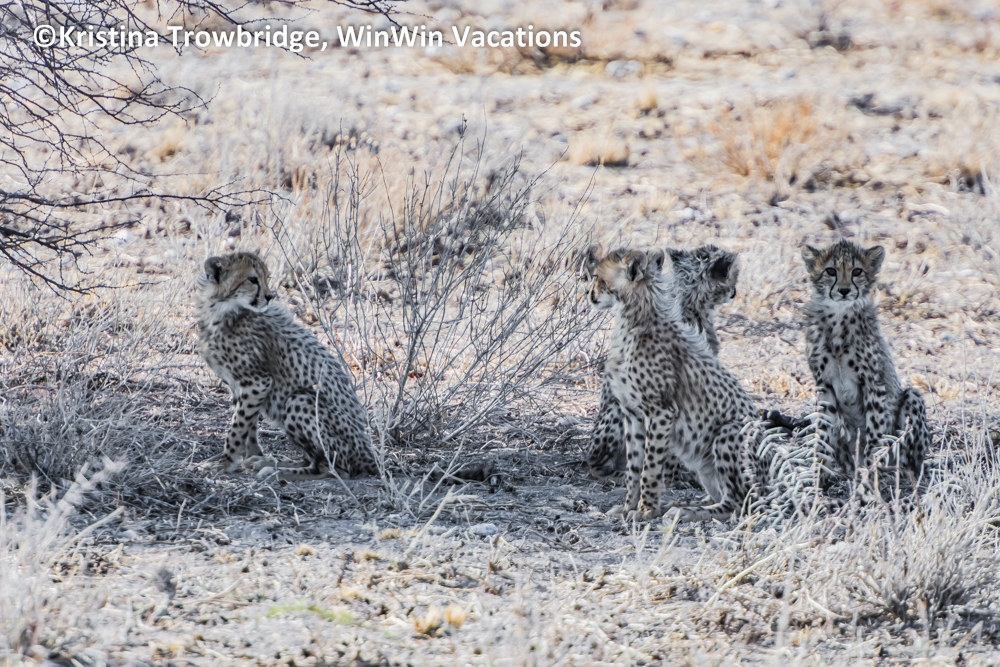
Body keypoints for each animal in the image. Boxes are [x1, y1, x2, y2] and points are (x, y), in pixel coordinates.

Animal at [195, 251, 378, 481]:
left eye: (266, 277)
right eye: (252, 279)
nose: (269, 296)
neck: (221, 309)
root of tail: (368, 454)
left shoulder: (257, 382)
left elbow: (237, 428)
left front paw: (224, 462)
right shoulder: (241, 386)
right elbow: (249, 427)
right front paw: (252, 455)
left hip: (300, 400)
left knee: (333, 469)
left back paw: (276, 472)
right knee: (313, 460)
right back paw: (268, 462)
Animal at [589, 247, 759, 522]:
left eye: (597, 278)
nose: (589, 293)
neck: (633, 320)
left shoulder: (661, 412)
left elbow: (650, 467)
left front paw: (646, 511)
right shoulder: (631, 414)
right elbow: (635, 467)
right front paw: (628, 508)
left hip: (730, 431)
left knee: (739, 502)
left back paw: (684, 510)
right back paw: (679, 504)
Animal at [800, 240, 930, 480]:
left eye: (857, 271)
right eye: (830, 271)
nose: (844, 290)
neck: (838, 317)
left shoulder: (872, 382)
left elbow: (874, 432)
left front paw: (869, 470)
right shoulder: (824, 384)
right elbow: (823, 432)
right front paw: (818, 474)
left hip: (912, 398)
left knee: (907, 457)